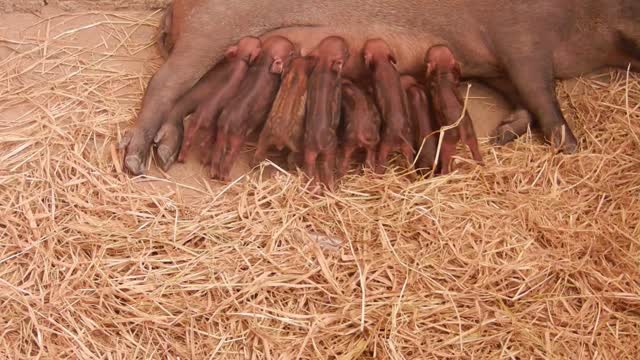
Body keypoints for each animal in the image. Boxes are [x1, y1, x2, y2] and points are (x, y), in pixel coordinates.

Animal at [119, 0, 636, 174]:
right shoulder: (522, 42)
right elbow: (542, 93)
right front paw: (571, 145)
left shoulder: (492, 63)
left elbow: (523, 99)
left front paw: (505, 133)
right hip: (210, 30)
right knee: (162, 82)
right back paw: (135, 161)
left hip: (240, 57)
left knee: (190, 99)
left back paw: (166, 152)